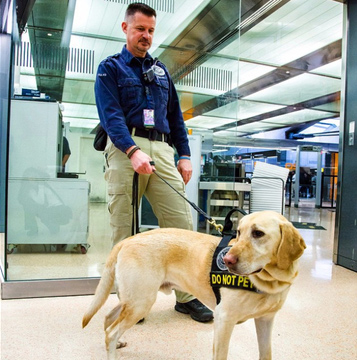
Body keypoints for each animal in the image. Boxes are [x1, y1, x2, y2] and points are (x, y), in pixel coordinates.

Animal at [82, 211, 304, 360]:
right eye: (239, 232)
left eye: (258, 233)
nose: (228, 260)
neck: (270, 280)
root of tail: (128, 240)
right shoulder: (224, 319)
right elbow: (221, 355)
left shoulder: (266, 320)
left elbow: (266, 353)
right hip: (141, 301)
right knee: (111, 331)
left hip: (133, 299)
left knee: (109, 318)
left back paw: (116, 343)